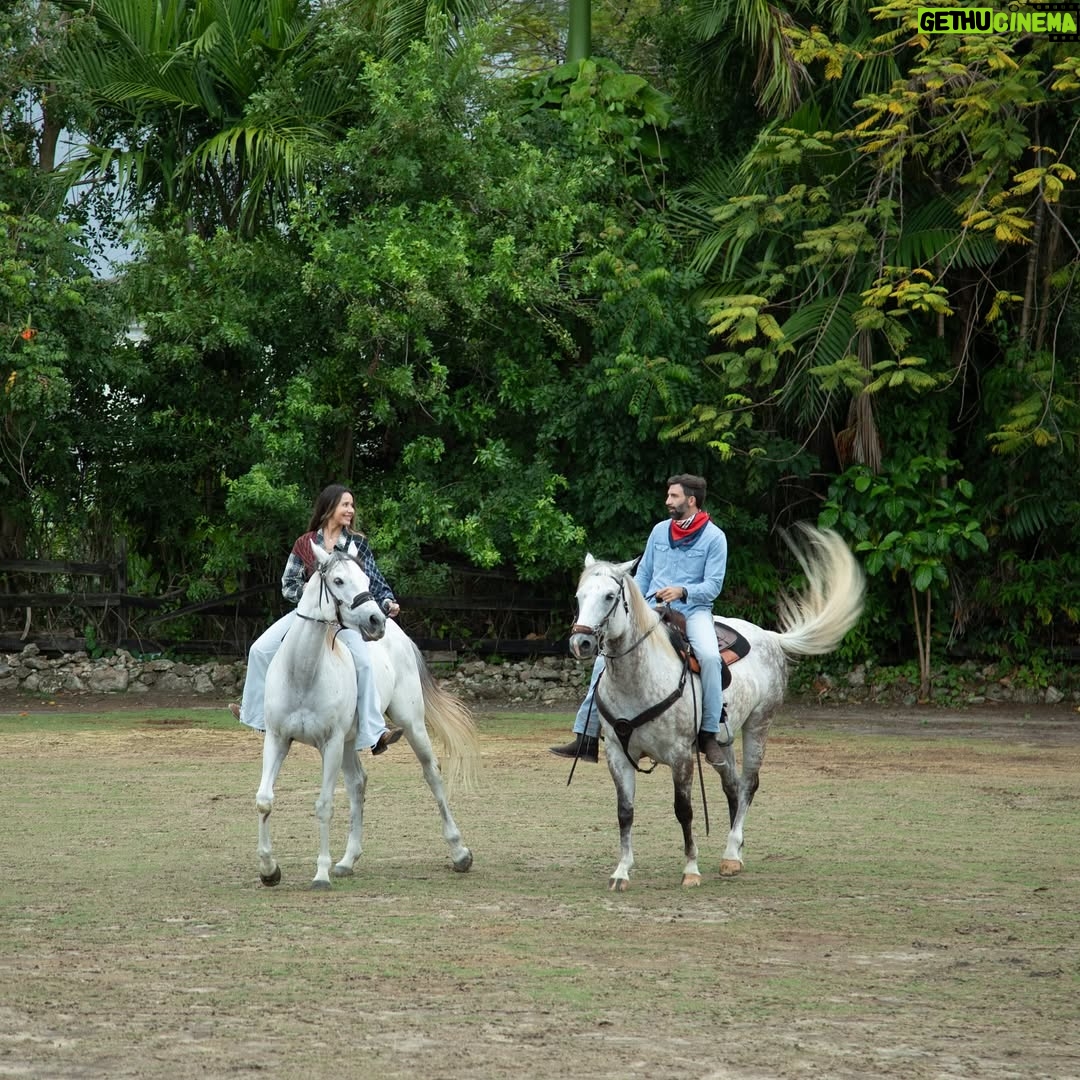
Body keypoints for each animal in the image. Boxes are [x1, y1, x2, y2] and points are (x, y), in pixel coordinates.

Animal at [256, 542, 479, 889]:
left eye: (365, 578)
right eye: (337, 580)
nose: (376, 620)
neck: (304, 673)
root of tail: (399, 634)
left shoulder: (331, 743)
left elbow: (324, 805)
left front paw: (320, 874)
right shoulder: (279, 739)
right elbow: (264, 799)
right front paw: (269, 870)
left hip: (411, 725)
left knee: (432, 774)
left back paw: (459, 853)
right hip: (349, 743)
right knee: (358, 783)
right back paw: (347, 860)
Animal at [567, 524, 865, 891]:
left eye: (610, 596)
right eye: (579, 596)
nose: (581, 642)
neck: (638, 679)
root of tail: (770, 636)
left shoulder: (681, 755)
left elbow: (684, 809)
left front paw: (691, 870)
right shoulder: (617, 754)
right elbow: (625, 811)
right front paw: (622, 871)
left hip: (758, 725)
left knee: (749, 783)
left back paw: (732, 854)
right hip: (720, 742)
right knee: (732, 785)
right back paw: (735, 849)